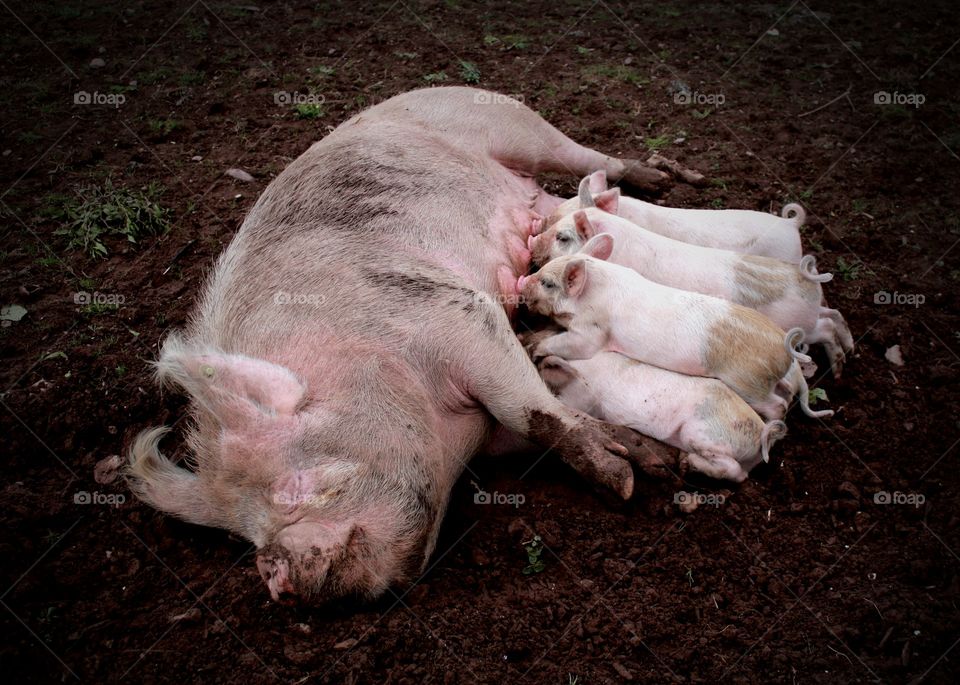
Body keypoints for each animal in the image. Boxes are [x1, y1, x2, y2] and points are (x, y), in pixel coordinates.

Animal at [125, 87, 686, 605]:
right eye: (244, 532)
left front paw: (624, 482)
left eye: (296, 488)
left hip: (512, 123)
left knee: (586, 158)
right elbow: (551, 416)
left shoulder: (455, 314)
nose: (274, 577)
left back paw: (665, 180)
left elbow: (531, 410)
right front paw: (652, 461)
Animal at [519, 233, 833, 421]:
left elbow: (570, 344)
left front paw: (534, 348)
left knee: (778, 404)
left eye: (547, 283)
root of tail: (784, 347)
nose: (521, 282)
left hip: (747, 382)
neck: (592, 294)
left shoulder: (592, 332)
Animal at [529, 201, 855, 378]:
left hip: (801, 325)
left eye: (562, 237)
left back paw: (840, 367)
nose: (531, 240)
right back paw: (848, 356)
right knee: (833, 315)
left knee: (826, 325)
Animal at [532, 349, 788, 482]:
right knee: (742, 474)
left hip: (701, 434)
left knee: (734, 471)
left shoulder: (584, 399)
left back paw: (687, 463)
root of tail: (760, 433)